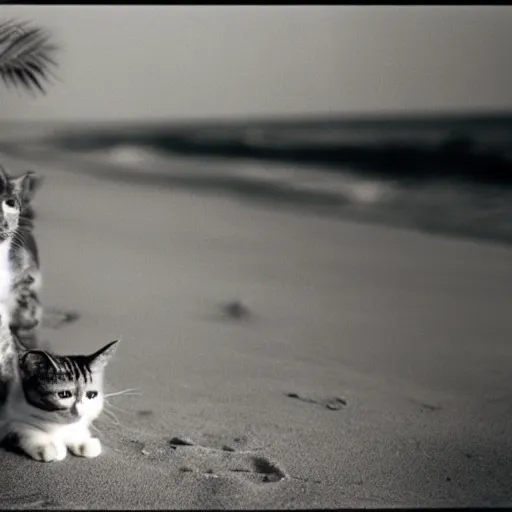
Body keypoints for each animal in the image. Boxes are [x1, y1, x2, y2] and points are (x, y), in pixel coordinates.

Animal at [0, 310, 119, 462]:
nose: (79, 409)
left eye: (91, 394)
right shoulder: (5, 418)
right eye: (64, 395)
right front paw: (50, 446)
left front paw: (82, 440)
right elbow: (21, 427)